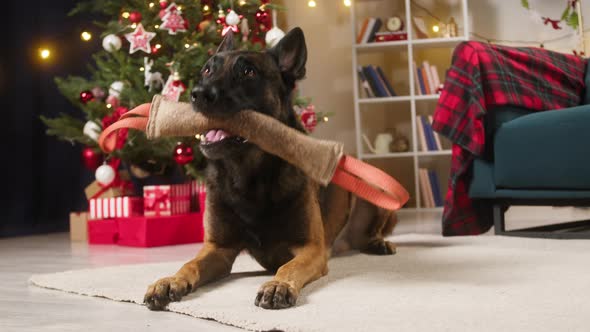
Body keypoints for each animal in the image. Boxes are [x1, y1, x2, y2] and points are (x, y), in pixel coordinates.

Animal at [143, 27, 398, 310]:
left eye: (248, 72)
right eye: (207, 70)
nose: (197, 94)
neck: (247, 174)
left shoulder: (311, 249)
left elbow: (288, 267)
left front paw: (277, 285)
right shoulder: (218, 249)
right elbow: (190, 264)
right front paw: (170, 281)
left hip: (373, 186)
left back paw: (377, 242)